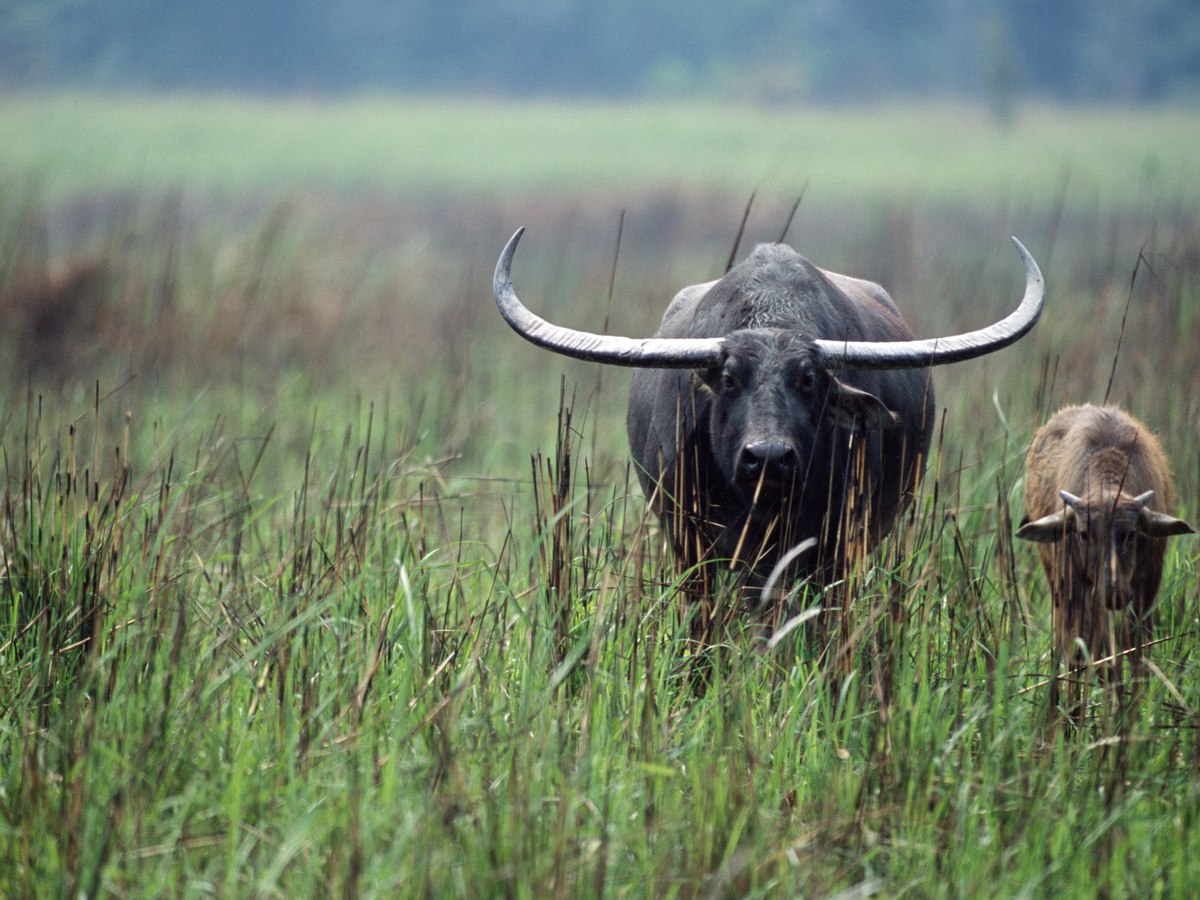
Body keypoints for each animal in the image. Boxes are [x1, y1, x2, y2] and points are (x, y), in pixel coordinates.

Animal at [1016, 404, 1194, 697]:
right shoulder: (1073, 585)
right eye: (1083, 533)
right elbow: (1077, 646)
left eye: (1131, 534)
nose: (1114, 592)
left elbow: (1136, 644)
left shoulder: (1147, 583)